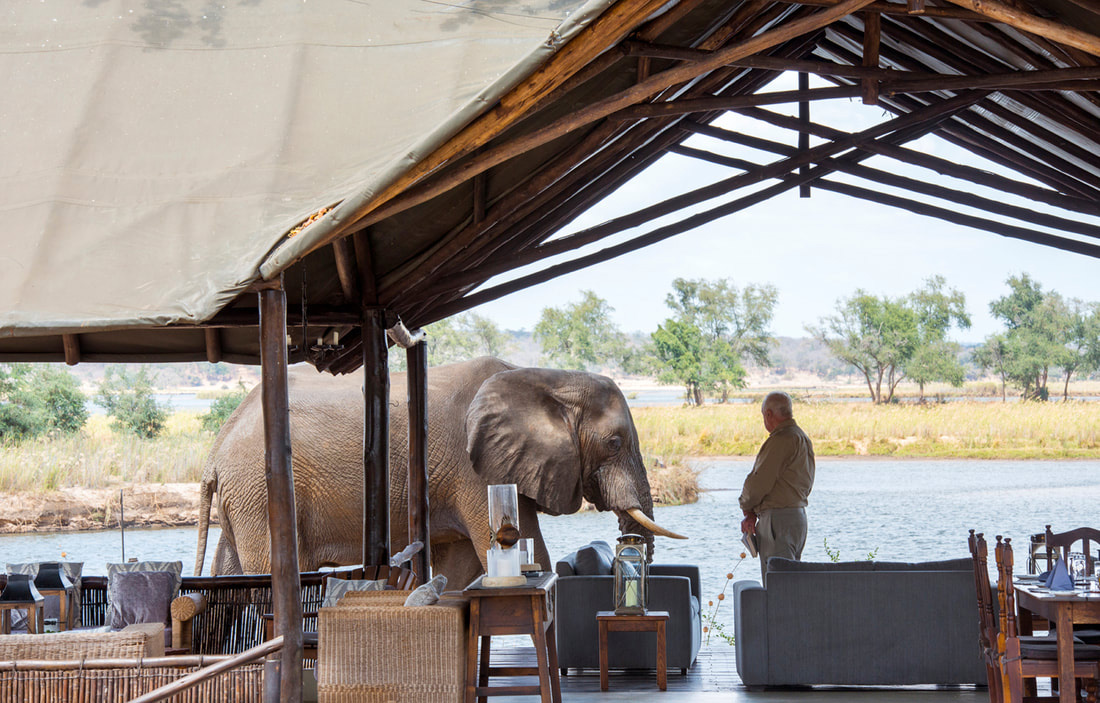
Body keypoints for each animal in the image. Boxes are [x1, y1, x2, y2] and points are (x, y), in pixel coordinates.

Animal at [194, 356, 684, 589]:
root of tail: (215, 450)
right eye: (615, 443)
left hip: (243, 496)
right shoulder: (476, 470)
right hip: (260, 491)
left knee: (231, 571)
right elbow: (530, 551)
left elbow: (463, 566)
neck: (550, 378)